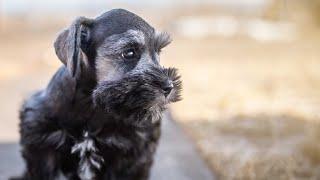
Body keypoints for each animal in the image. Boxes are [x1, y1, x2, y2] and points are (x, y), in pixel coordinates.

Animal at [13, 9, 181, 180]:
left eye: (158, 51)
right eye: (129, 53)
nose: (169, 87)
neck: (92, 105)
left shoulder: (132, 155)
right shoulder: (43, 146)